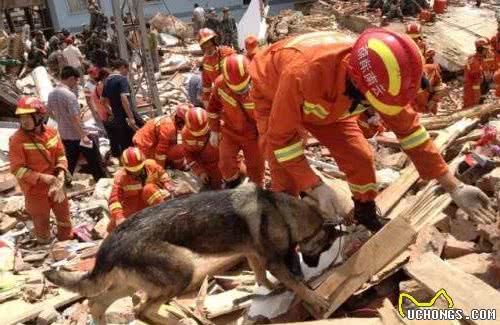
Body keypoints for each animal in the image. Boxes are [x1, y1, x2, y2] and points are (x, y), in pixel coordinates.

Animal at [45, 184, 340, 322]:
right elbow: (292, 282)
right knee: (142, 310)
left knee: (98, 303)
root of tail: (111, 241)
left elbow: (261, 276)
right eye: (324, 247)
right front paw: (314, 298)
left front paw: (270, 288)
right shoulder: (273, 260)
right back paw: (177, 322)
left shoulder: (254, 254)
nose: (313, 265)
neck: (283, 212)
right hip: (183, 271)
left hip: (127, 284)